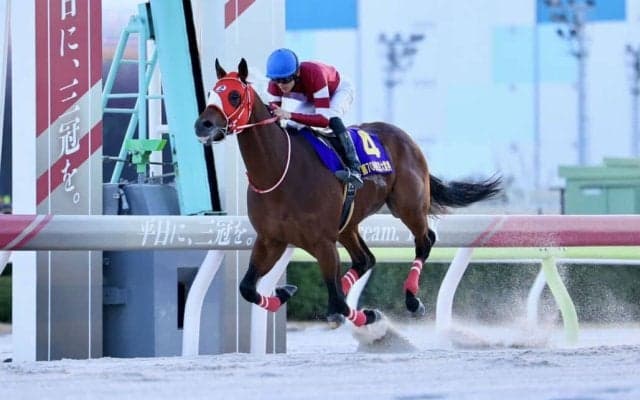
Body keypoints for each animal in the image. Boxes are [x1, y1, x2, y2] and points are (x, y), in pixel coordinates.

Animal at [194, 58, 502, 328]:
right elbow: (247, 288)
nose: (202, 125)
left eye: (234, 96)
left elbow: (340, 302)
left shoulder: (322, 242)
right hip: (349, 224)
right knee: (365, 259)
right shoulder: (271, 240)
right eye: (210, 92)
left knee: (425, 241)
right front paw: (285, 292)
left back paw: (412, 299)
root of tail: (405, 137)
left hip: (408, 206)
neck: (279, 170)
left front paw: (368, 315)